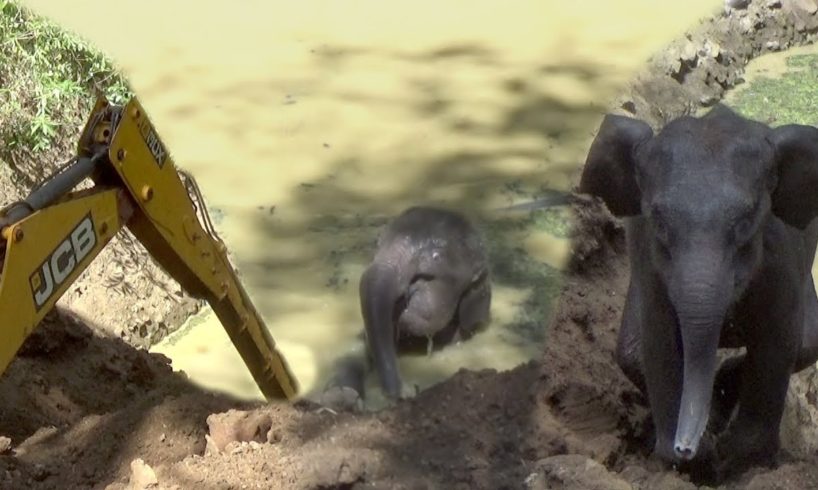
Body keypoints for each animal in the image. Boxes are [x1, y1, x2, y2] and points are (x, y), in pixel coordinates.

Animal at [576, 104, 816, 482]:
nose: (683, 447)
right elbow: (659, 342)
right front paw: (693, 463)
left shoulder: (781, 260)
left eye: (746, 221)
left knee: (805, 346)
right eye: (659, 222)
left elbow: (777, 342)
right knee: (629, 354)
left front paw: (735, 461)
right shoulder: (649, 267)